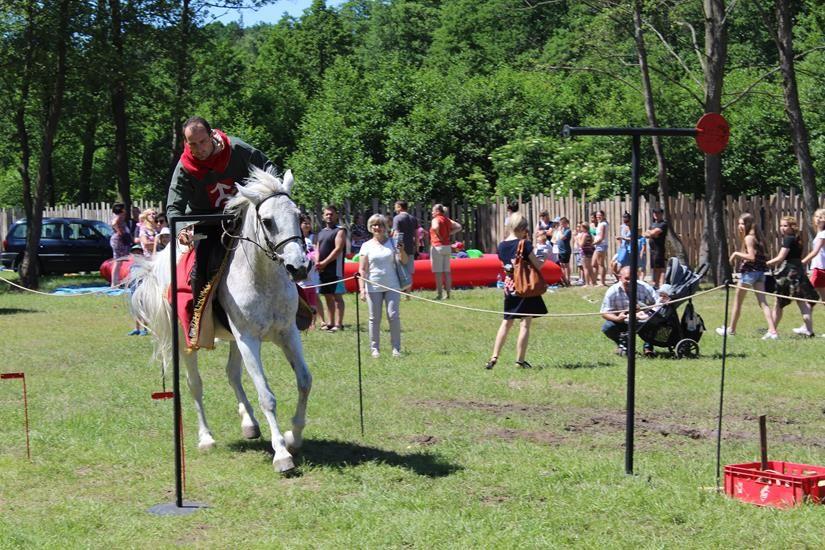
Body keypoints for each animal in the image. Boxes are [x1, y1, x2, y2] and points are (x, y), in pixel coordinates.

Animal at [132, 168, 312, 474]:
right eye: (267, 221)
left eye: (298, 215)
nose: (298, 266)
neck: (261, 278)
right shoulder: (248, 339)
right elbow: (267, 396)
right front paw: (281, 454)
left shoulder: (287, 333)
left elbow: (304, 381)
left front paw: (293, 436)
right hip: (187, 341)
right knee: (195, 384)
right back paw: (206, 438)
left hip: (234, 339)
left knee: (232, 374)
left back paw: (249, 423)